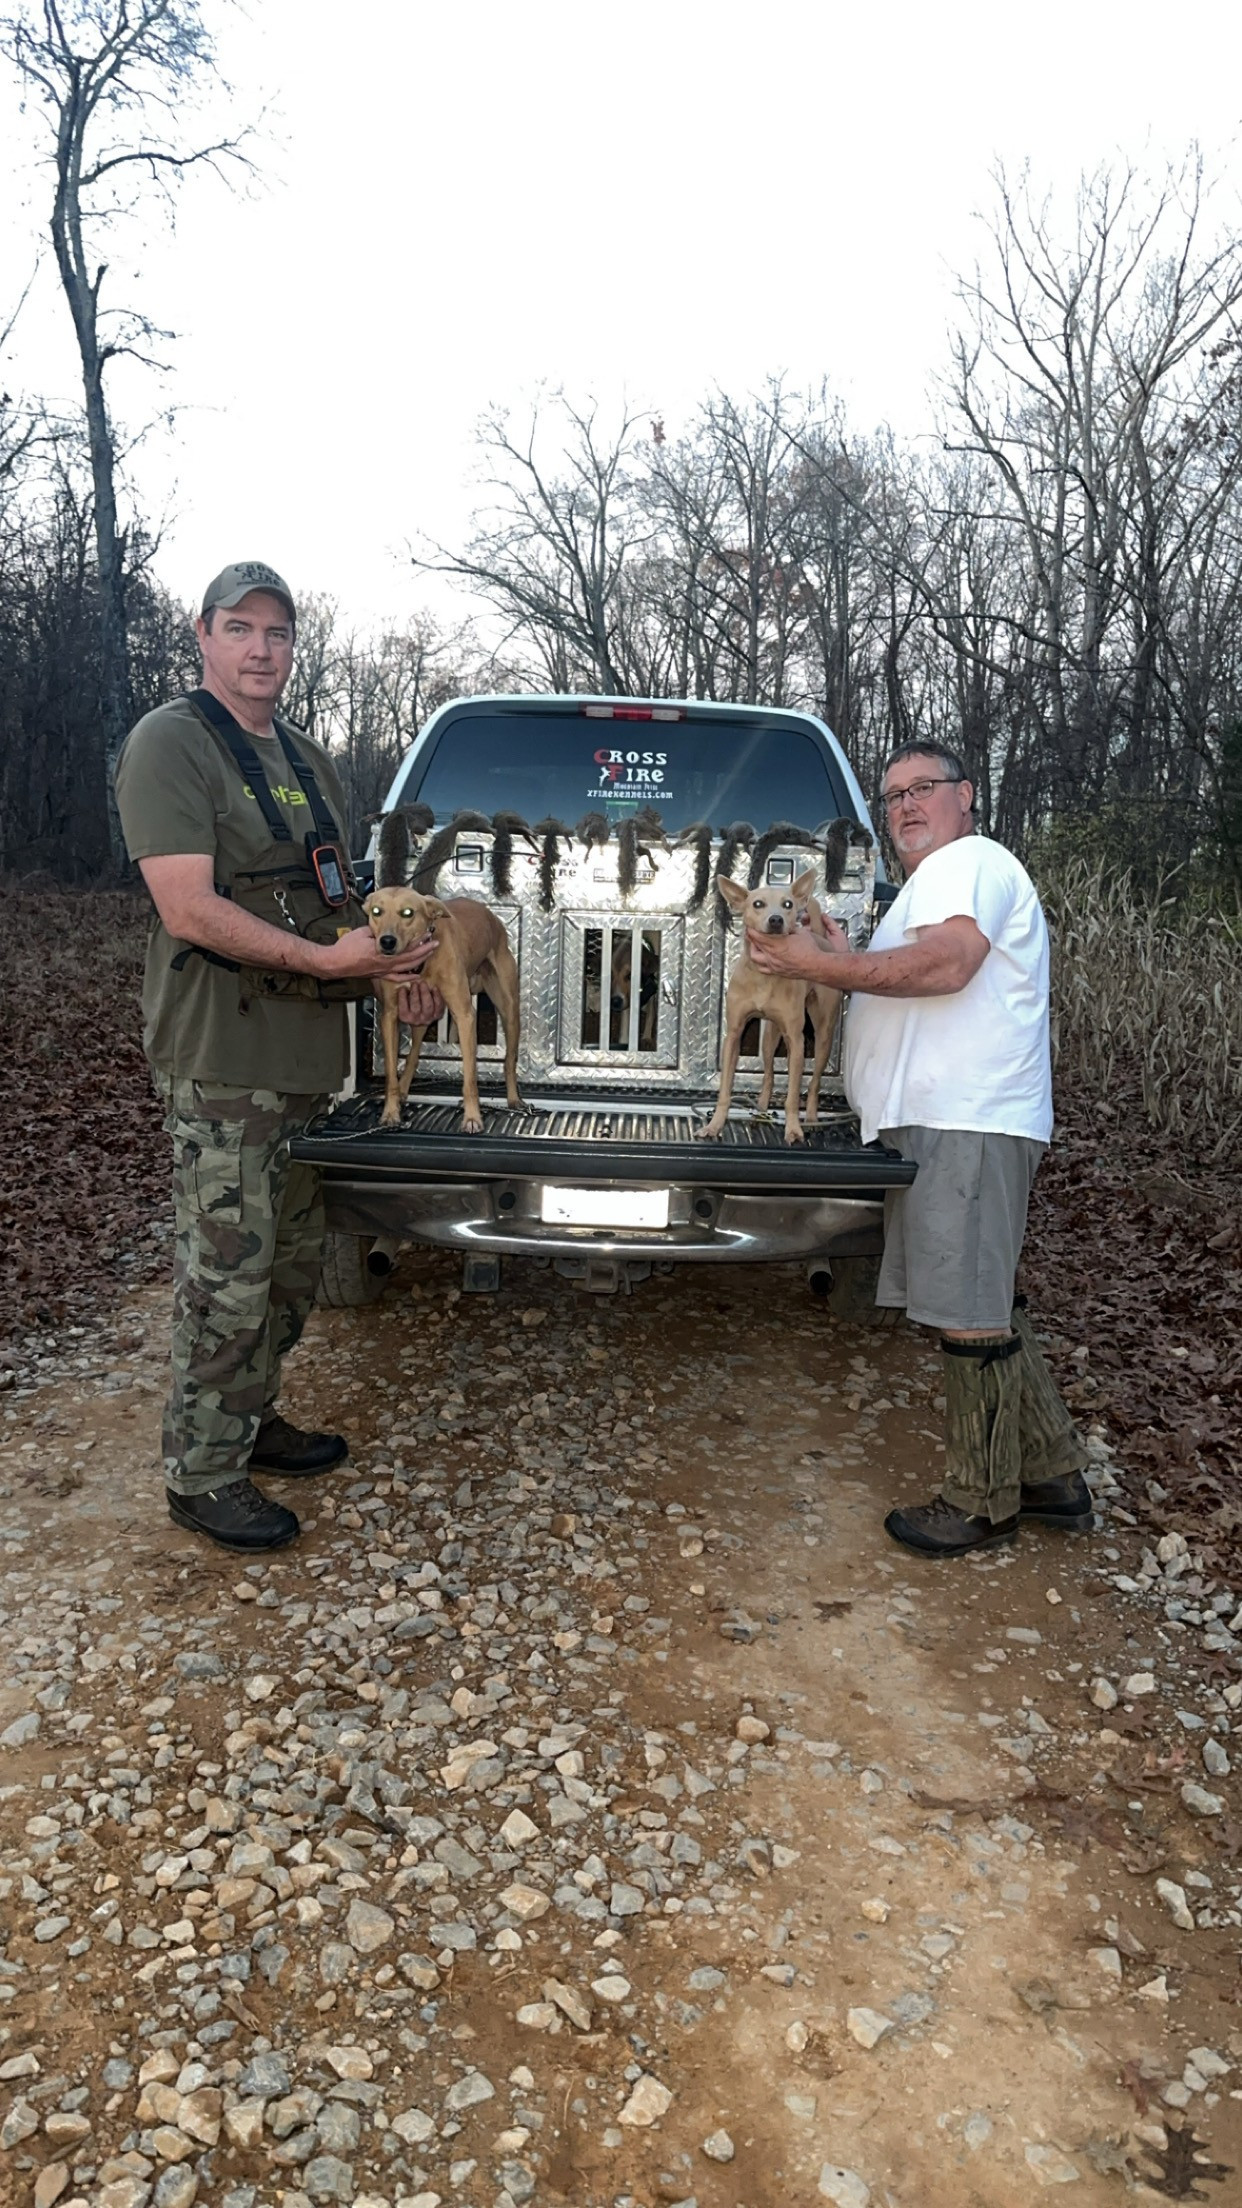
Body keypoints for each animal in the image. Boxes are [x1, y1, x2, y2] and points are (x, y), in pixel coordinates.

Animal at [365, 887, 522, 1132]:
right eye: (376, 912)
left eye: (408, 912)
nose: (387, 942)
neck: (420, 965)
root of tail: (492, 918)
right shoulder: (389, 1016)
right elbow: (390, 1073)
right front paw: (390, 1112)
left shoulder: (465, 1015)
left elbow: (470, 1078)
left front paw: (472, 1117)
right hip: (422, 1014)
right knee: (413, 1056)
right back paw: (403, 1089)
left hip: (509, 1011)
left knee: (509, 1061)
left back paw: (513, 1098)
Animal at [697, 869, 826, 1145]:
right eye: (757, 904)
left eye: (788, 904)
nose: (776, 919)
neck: (766, 975)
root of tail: (820, 937)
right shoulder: (734, 1035)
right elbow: (725, 1090)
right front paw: (714, 1126)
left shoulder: (796, 1042)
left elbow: (792, 1095)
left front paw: (793, 1129)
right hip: (769, 1041)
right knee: (768, 1075)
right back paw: (761, 1110)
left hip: (823, 1037)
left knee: (813, 1084)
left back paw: (810, 1119)